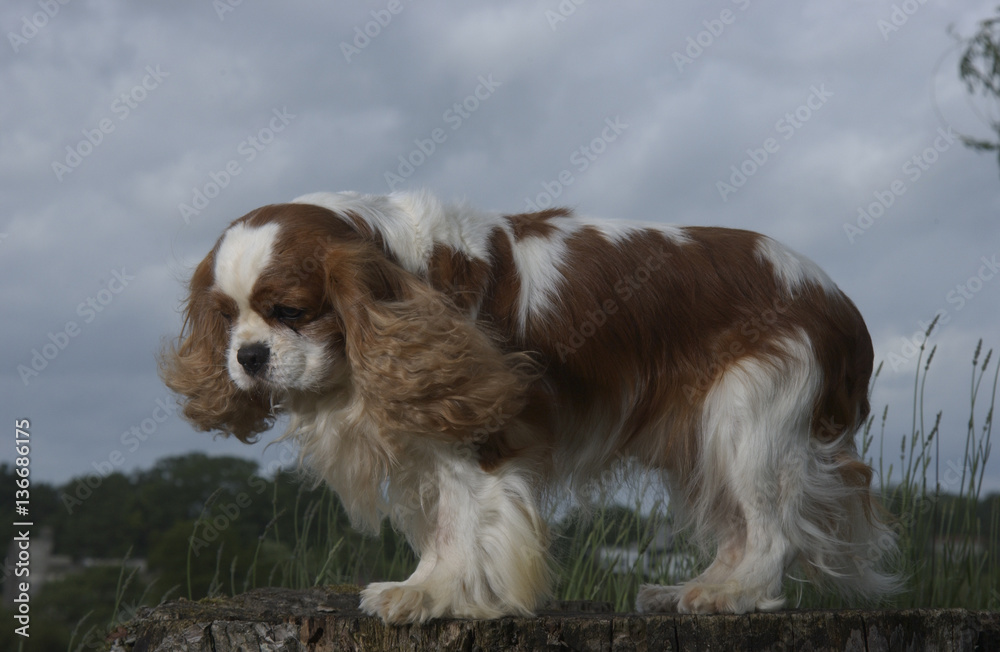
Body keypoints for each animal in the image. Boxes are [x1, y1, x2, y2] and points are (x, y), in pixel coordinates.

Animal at [162, 188, 900, 620]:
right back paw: (693, 589)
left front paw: (436, 597)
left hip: (747, 416)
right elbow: (442, 527)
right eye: (227, 318)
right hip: (702, 433)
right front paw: (424, 586)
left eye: (289, 311)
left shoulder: (480, 430)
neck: (401, 276)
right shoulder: (430, 436)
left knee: (772, 530)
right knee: (741, 523)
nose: (248, 357)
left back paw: (732, 595)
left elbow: (466, 520)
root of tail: (843, 306)